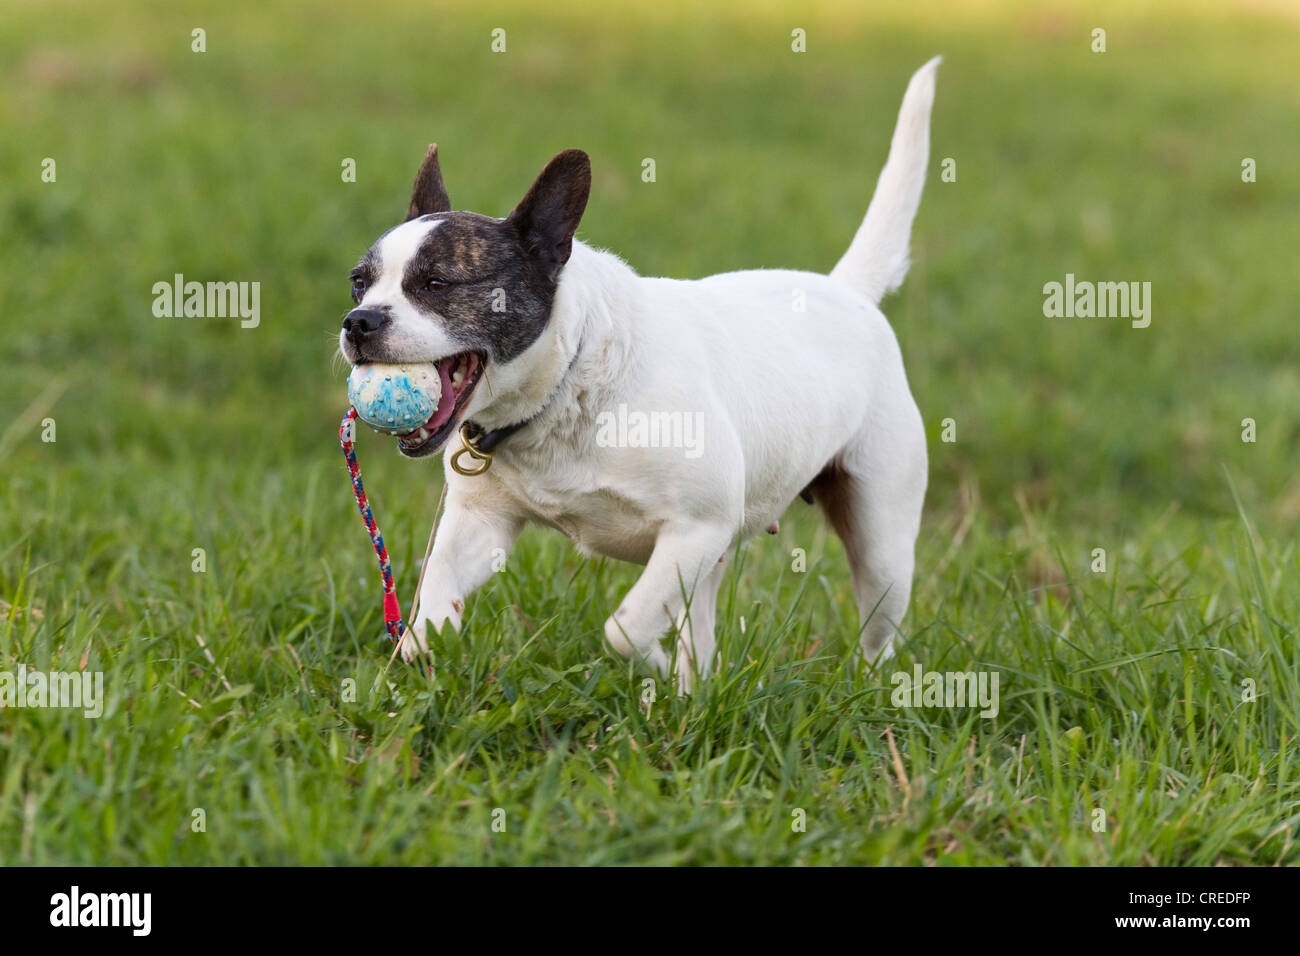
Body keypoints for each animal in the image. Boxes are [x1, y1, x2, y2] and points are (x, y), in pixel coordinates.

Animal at [340, 59, 941, 691]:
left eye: (436, 284)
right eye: (358, 283)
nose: (359, 321)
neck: (564, 391)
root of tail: (849, 291)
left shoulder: (695, 530)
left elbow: (622, 629)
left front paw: (652, 665)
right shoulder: (482, 526)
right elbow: (430, 608)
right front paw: (424, 644)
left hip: (882, 547)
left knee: (876, 627)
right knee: (701, 624)